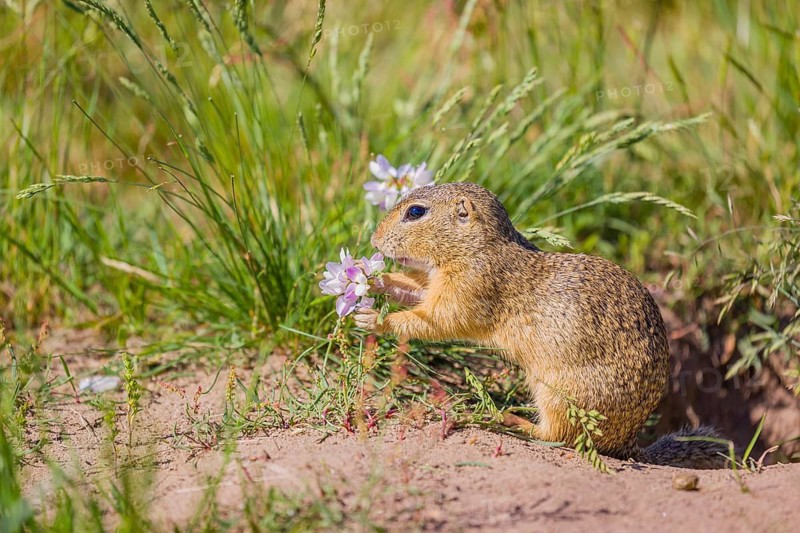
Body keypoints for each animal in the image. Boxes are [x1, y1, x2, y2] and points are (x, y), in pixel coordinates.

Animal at [354, 182, 728, 469]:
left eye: (416, 212)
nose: (373, 240)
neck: (478, 248)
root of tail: (628, 442)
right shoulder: (435, 284)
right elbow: (413, 289)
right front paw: (373, 279)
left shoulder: (469, 290)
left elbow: (434, 321)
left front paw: (374, 319)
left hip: (558, 395)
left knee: (557, 437)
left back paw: (507, 419)